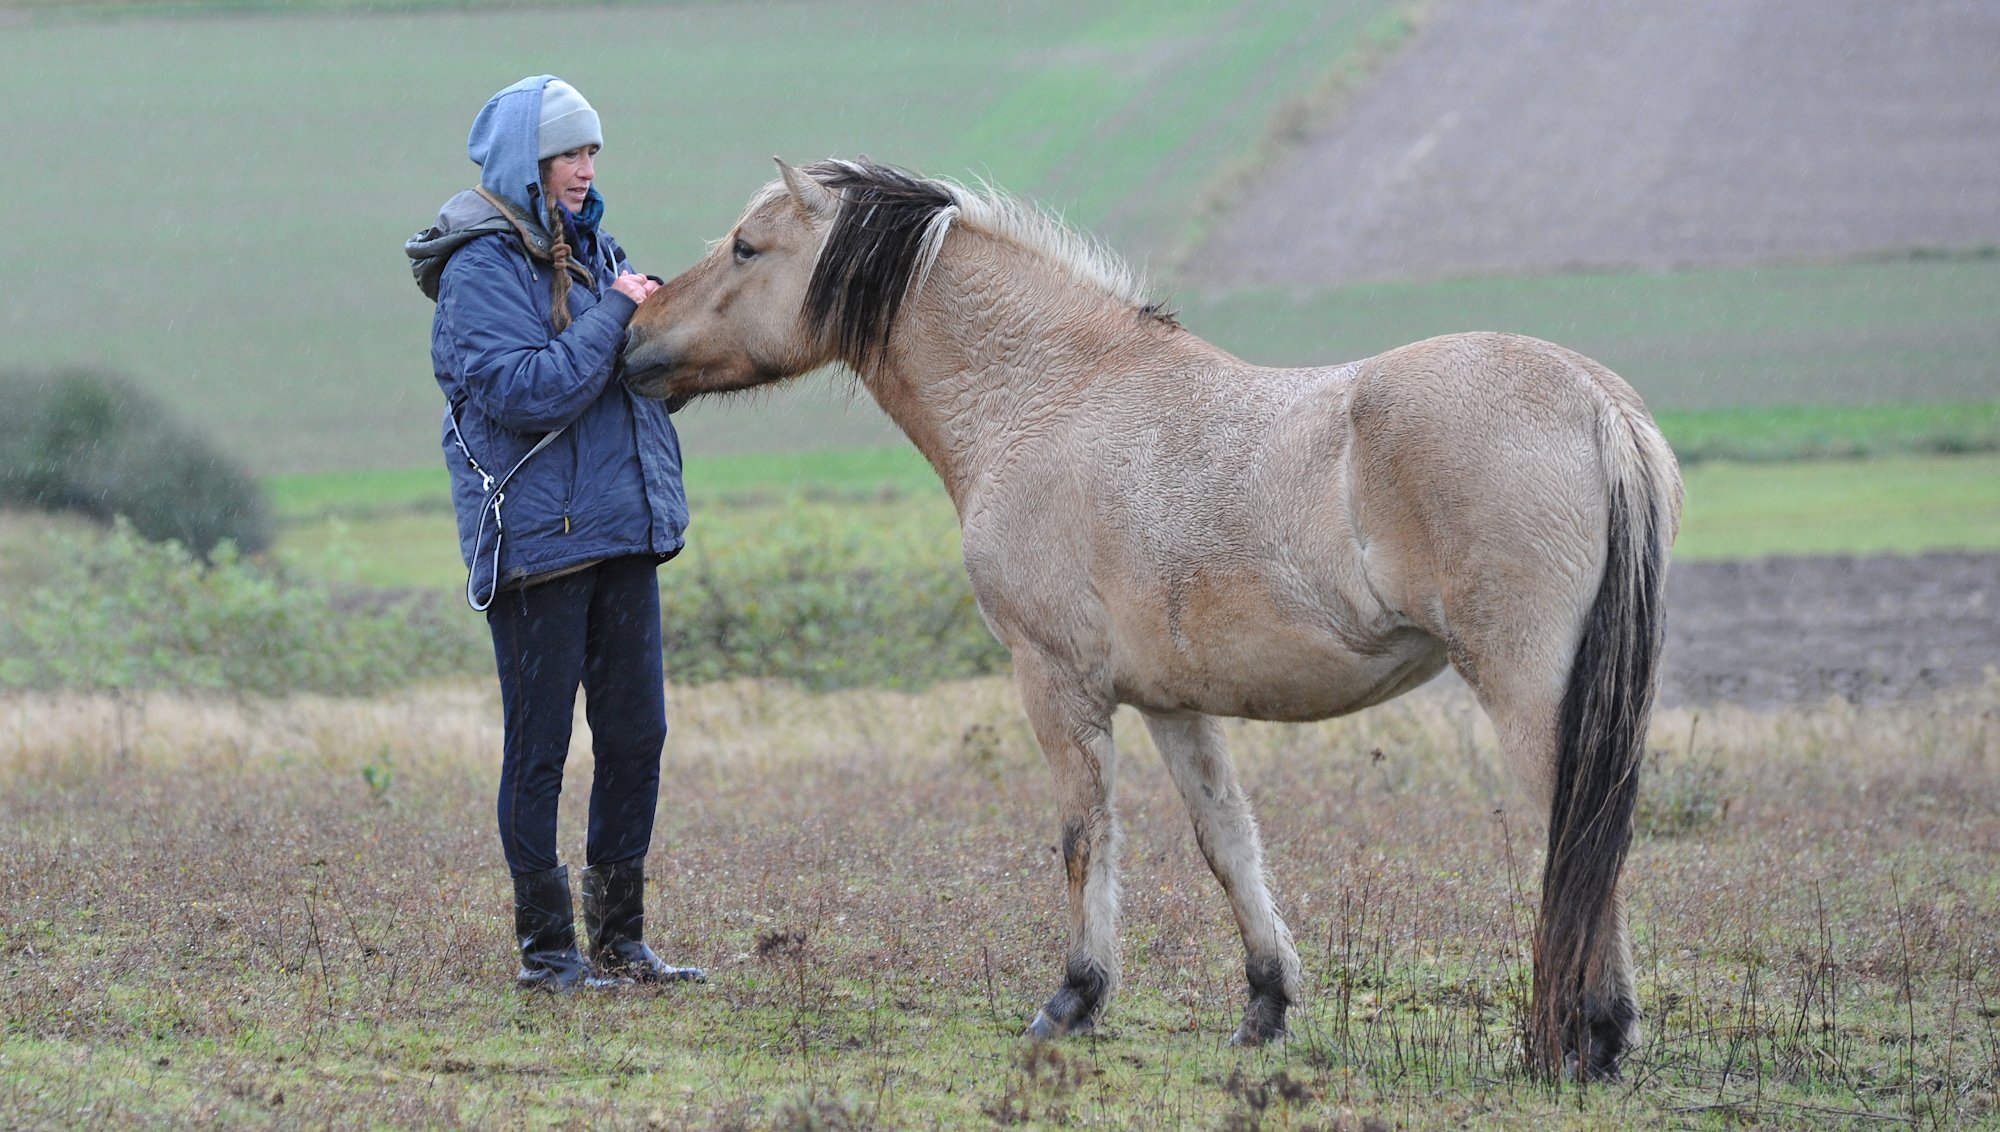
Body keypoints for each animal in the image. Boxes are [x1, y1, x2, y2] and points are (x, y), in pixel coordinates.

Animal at [616, 158, 1680, 1080]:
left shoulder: (1057, 684)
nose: (633, 338)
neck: (1051, 397)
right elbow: (1228, 843)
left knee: (1581, 835)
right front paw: (1265, 1008)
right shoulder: (1175, 704)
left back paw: (1585, 1041)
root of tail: (1596, 403)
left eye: (748, 247)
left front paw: (1073, 1000)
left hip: (1526, 692)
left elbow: (1086, 835)